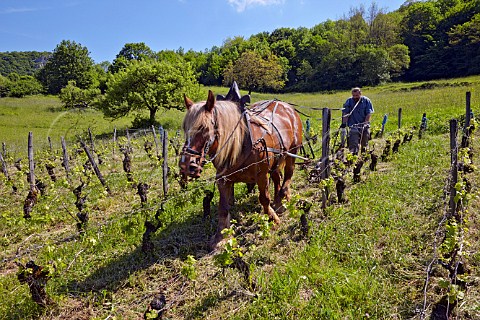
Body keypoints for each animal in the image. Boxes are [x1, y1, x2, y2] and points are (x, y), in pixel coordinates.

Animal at [178, 90, 306, 250]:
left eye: (204, 128)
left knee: (288, 176)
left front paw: (272, 219)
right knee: (277, 178)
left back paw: (283, 198)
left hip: (291, 153)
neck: (241, 144)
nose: (186, 165)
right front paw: (221, 237)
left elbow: (264, 199)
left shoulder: (261, 175)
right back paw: (278, 201)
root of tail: (286, 106)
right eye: (185, 129)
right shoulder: (222, 179)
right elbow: (223, 207)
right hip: (277, 158)